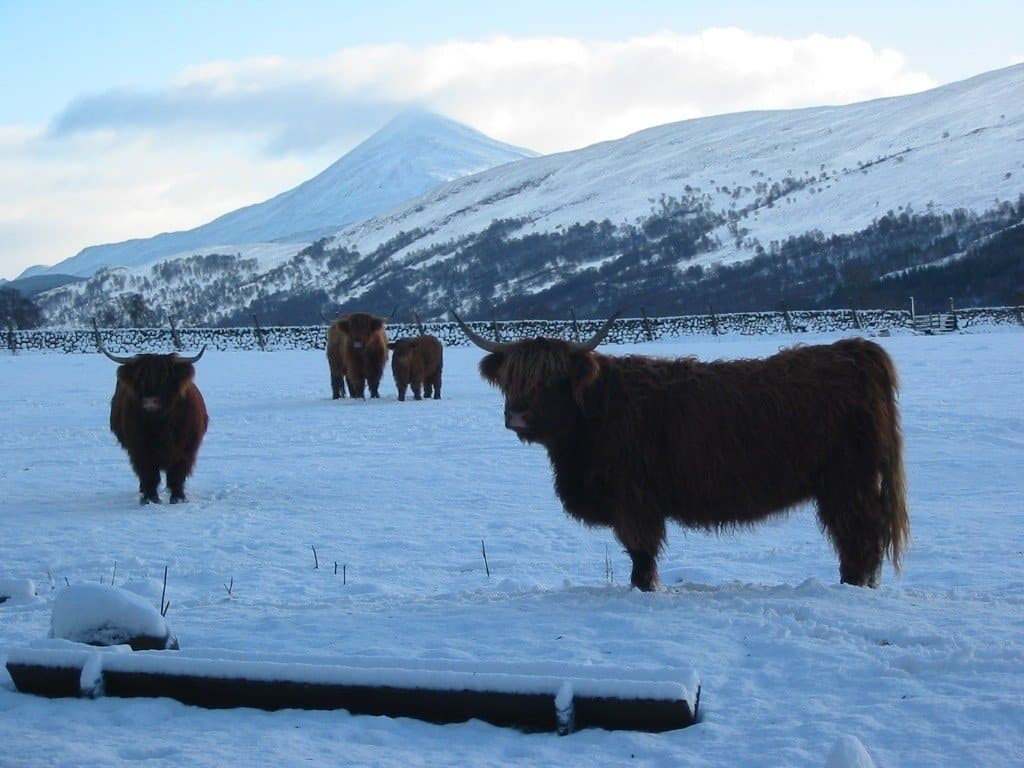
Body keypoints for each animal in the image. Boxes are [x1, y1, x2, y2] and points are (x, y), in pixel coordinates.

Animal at [102, 348, 208, 505]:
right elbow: (149, 475)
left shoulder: (186, 450)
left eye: (165, 379)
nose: (150, 402)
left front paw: (178, 498)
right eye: (140, 379)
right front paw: (150, 499)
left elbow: (177, 475)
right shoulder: (139, 450)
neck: (161, 423)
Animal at [452, 315, 909, 593]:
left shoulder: (633, 499)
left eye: (552, 379)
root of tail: (853, 350)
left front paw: (644, 587)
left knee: (859, 535)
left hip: (847, 480)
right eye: (512, 378)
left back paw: (853, 585)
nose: (516, 414)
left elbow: (640, 550)